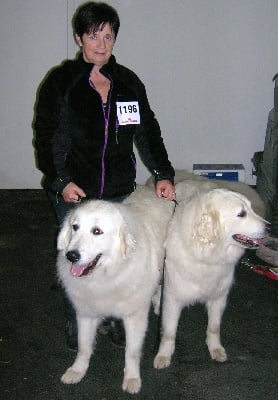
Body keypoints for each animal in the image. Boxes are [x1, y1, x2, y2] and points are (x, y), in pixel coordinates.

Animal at [56, 187, 174, 394]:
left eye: (97, 231)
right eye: (75, 227)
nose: (71, 256)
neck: (107, 274)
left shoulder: (135, 317)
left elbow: (132, 352)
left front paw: (132, 379)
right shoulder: (85, 313)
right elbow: (83, 347)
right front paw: (77, 371)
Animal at [154, 180, 268, 368]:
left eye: (251, 209)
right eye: (241, 214)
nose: (269, 227)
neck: (206, 254)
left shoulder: (219, 297)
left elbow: (214, 327)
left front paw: (215, 349)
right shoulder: (173, 298)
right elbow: (169, 332)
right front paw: (163, 355)